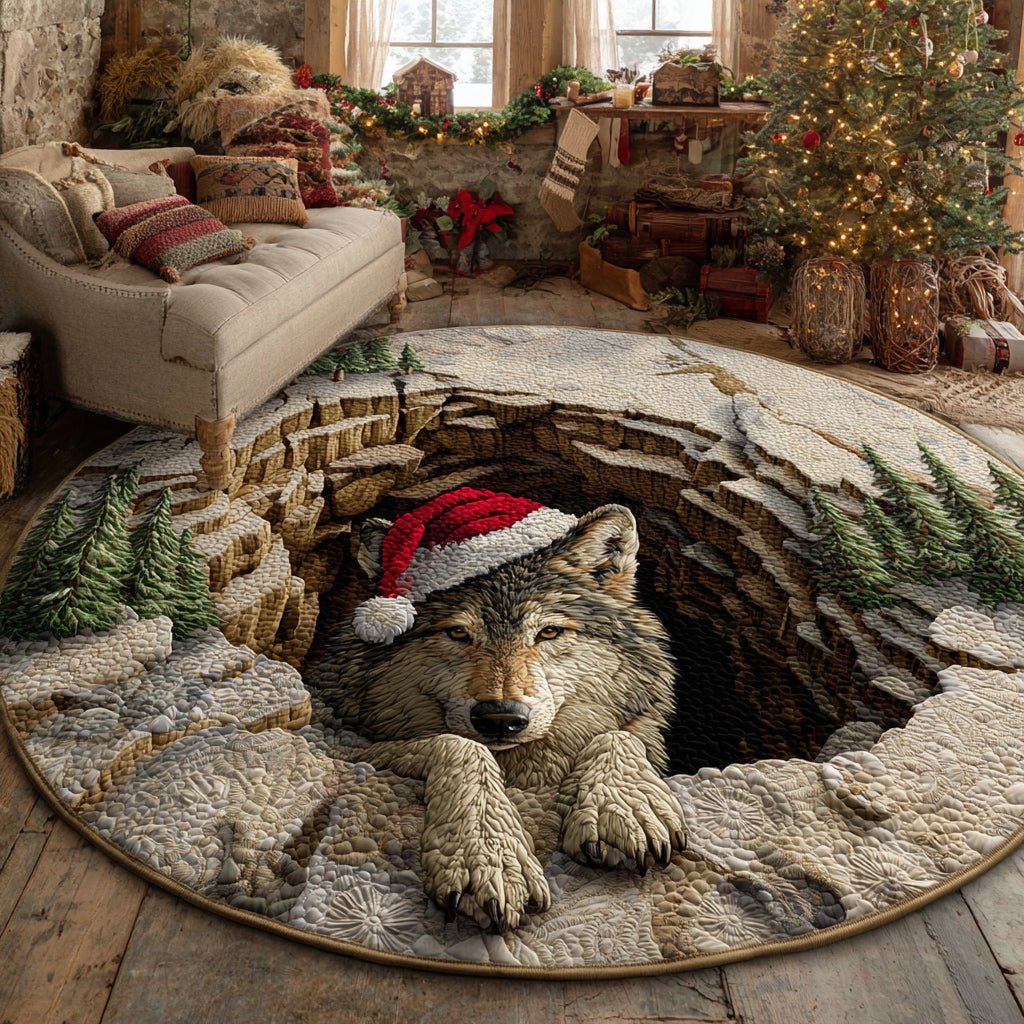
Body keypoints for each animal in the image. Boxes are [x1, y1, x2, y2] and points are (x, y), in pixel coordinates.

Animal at [311, 496, 685, 933]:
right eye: (458, 633)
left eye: (549, 632)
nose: (500, 717)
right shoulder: (341, 743)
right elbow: (461, 747)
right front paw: (487, 856)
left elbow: (616, 734)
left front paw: (624, 807)